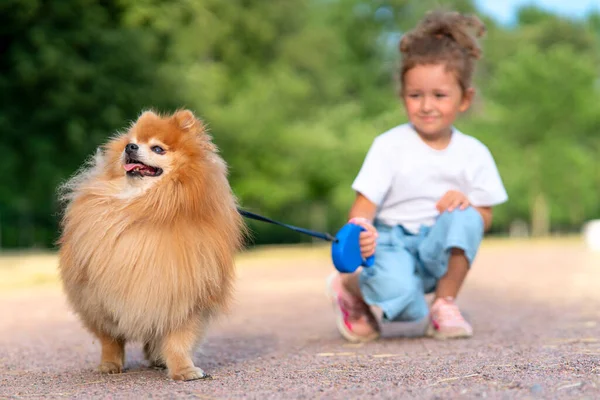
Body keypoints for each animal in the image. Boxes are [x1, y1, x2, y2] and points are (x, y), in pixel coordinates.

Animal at [56, 109, 244, 382]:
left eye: (157, 149)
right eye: (131, 142)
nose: (130, 147)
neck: (145, 207)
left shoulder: (184, 293)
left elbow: (178, 340)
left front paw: (183, 370)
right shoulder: (98, 299)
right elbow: (110, 339)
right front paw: (109, 364)